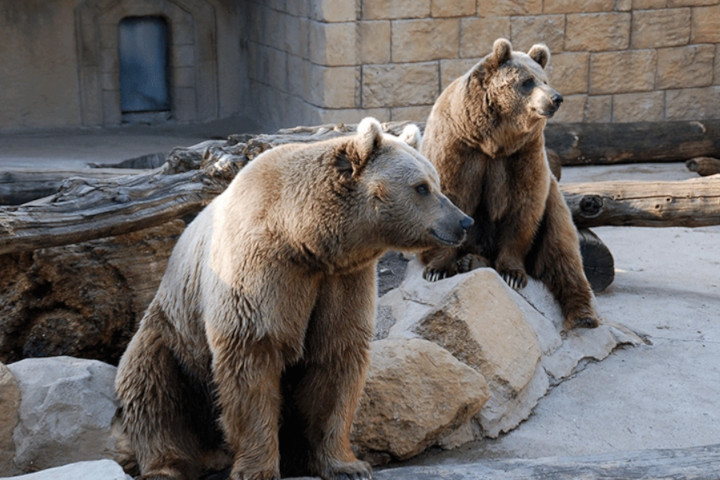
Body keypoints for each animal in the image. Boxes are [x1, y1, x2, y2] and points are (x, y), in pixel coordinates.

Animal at [114, 117, 472, 480]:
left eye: (436, 182)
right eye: (422, 188)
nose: (464, 221)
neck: (305, 238)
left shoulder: (341, 280)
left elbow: (336, 358)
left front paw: (348, 465)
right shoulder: (262, 270)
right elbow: (253, 356)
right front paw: (257, 469)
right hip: (172, 335)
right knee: (152, 391)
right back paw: (166, 466)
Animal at [420, 38, 600, 330]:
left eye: (545, 79)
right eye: (527, 82)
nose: (556, 98)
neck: (492, 139)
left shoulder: (523, 154)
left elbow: (522, 207)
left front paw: (513, 274)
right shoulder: (457, 145)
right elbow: (449, 197)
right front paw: (437, 269)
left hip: (554, 202)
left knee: (563, 249)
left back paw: (583, 315)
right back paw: (469, 260)